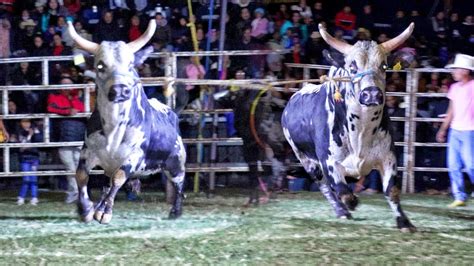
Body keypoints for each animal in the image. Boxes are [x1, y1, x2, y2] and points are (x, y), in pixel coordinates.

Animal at [67, 20, 186, 223]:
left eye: (130, 64)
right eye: (100, 66)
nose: (120, 89)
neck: (113, 129)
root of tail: (172, 113)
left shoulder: (133, 157)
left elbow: (119, 178)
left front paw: (104, 213)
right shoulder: (88, 151)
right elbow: (81, 176)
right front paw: (87, 209)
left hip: (176, 162)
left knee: (178, 184)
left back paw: (175, 211)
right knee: (107, 185)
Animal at [284, 22, 416, 232]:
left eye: (384, 66)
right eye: (352, 66)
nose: (371, 94)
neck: (360, 131)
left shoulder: (388, 157)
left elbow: (392, 191)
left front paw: (404, 222)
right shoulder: (328, 162)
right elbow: (343, 191)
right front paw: (350, 203)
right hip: (305, 158)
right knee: (324, 185)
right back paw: (342, 211)